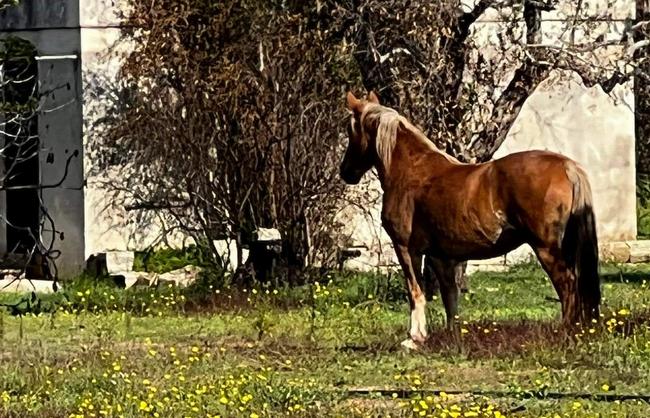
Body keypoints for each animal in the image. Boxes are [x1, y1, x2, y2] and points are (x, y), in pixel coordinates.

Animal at [340, 91, 601, 350]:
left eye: (350, 130)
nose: (345, 172)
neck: (412, 171)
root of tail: (568, 167)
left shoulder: (406, 248)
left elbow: (415, 291)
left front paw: (415, 338)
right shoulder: (441, 257)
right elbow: (450, 297)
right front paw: (452, 337)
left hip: (547, 249)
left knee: (568, 284)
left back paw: (565, 334)